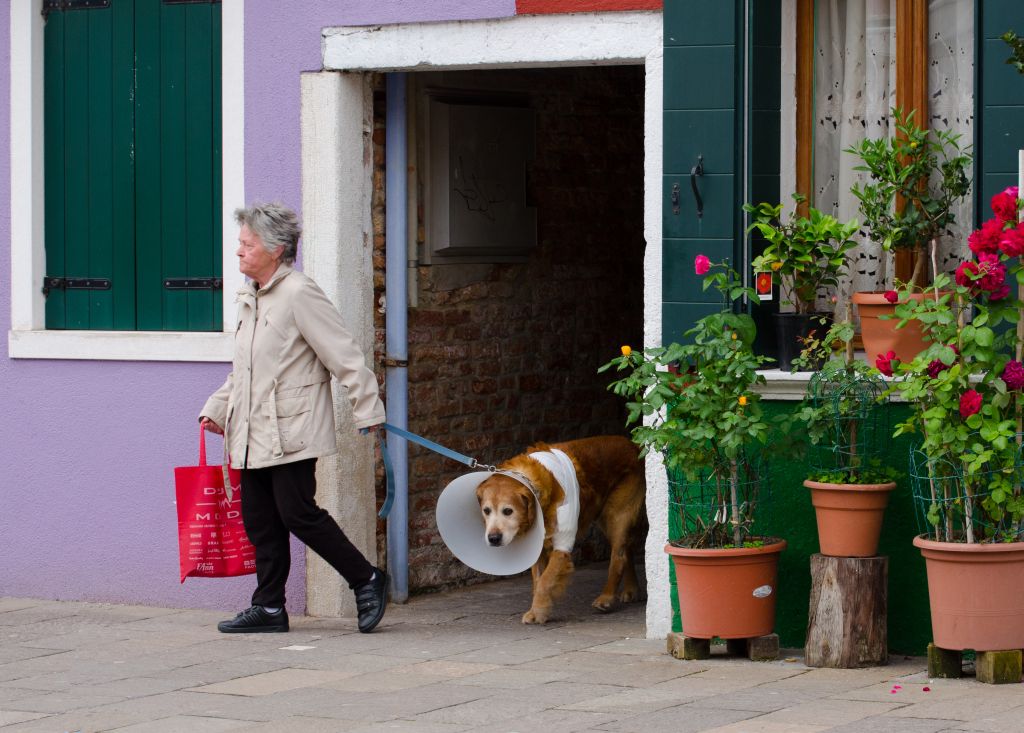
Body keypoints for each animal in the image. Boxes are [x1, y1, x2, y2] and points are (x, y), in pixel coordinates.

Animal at [475, 436, 643, 622]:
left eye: (508, 511)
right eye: (486, 511)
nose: (493, 538)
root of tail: (632, 444)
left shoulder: (562, 544)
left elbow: (545, 580)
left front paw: (539, 612)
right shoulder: (538, 547)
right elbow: (538, 580)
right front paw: (538, 609)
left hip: (617, 516)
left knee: (618, 557)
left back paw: (606, 598)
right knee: (627, 550)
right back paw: (631, 589)